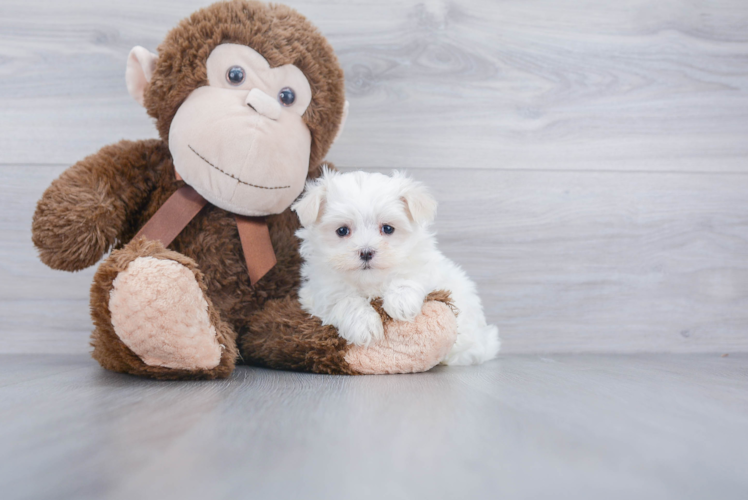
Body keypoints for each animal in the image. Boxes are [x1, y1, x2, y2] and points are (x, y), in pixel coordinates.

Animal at [290, 170, 496, 366]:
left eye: (388, 229)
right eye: (342, 231)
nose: (366, 252)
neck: (371, 282)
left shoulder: (427, 268)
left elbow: (411, 276)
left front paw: (401, 302)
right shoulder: (320, 291)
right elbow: (345, 300)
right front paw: (364, 325)